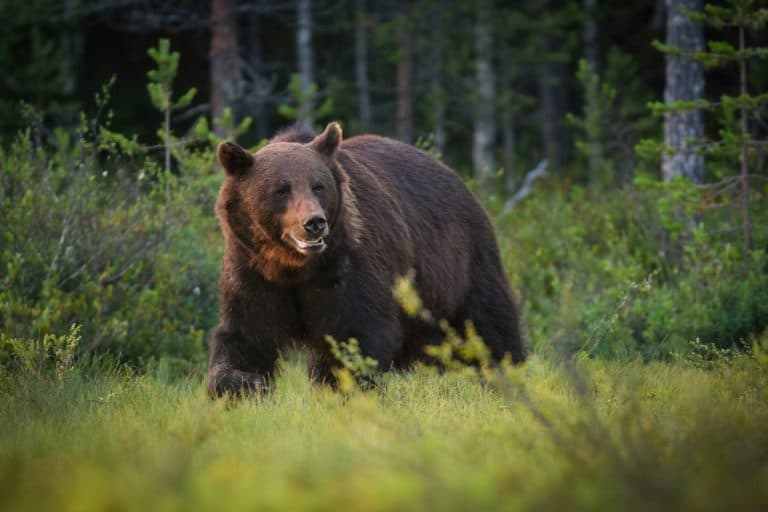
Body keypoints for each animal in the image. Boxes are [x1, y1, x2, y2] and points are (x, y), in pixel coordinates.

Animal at [207, 122, 524, 396]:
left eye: (318, 186)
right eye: (281, 190)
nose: (314, 223)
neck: (294, 267)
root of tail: (456, 177)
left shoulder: (348, 269)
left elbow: (356, 333)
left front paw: (345, 386)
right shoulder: (252, 271)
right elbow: (245, 336)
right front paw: (244, 383)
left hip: (459, 262)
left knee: (488, 320)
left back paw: (507, 374)